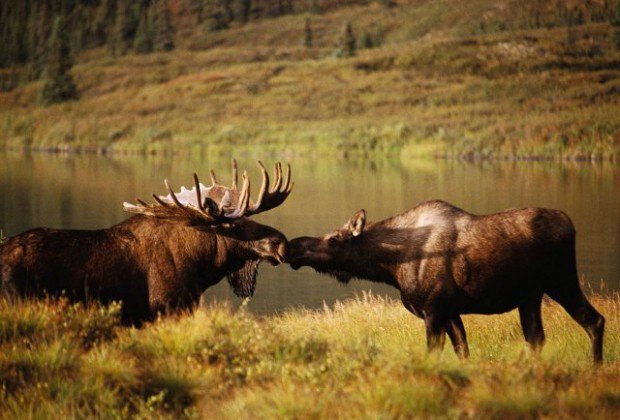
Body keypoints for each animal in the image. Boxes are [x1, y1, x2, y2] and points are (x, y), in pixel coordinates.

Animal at [290, 199, 604, 360]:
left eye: (333, 239)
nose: (293, 246)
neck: (390, 267)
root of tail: (570, 224)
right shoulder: (450, 311)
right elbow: (463, 351)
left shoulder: (434, 309)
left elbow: (434, 352)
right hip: (531, 296)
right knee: (537, 338)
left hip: (562, 280)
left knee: (594, 320)